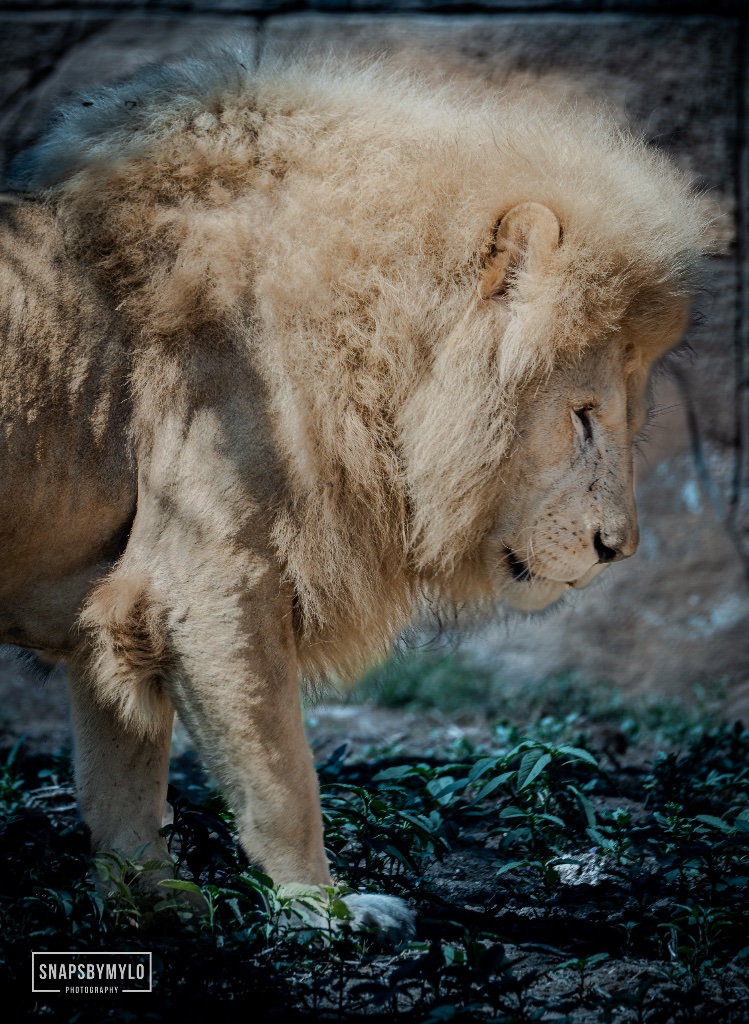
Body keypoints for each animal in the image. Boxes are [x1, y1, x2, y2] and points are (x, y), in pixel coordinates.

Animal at [1, 50, 703, 938]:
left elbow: (123, 775)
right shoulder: (207, 578)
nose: (618, 549)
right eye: (581, 418)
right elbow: (281, 780)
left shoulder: (123, 592)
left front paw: (154, 903)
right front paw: (325, 908)